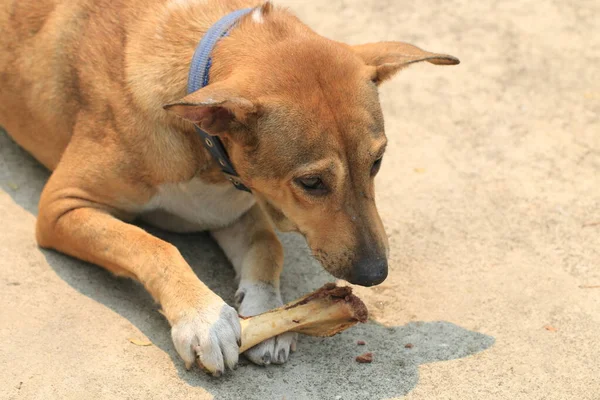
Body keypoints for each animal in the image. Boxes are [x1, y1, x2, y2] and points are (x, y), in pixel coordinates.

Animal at [0, 0, 458, 376]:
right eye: (311, 182)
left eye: (376, 162)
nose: (375, 274)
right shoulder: (62, 206)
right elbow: (152, 245)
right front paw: (203, 317)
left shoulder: (234, 209)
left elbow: (268, 246)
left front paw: (268, 311)